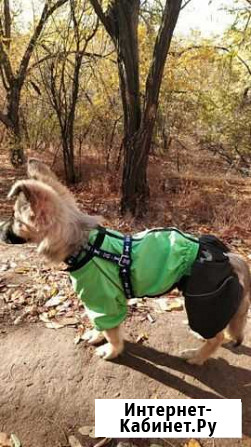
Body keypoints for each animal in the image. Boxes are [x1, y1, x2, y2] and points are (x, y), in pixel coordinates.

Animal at [0, 159, 250, 366]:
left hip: (202, 306)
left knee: (216, 336)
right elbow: (99, 324)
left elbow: (111, 331)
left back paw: (196, 357)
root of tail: (228, 257)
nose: (1, 230)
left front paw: (111, 350)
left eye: (15, 220)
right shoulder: (97, 305)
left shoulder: (104, 302)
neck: (84, 244)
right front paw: (96, 335)